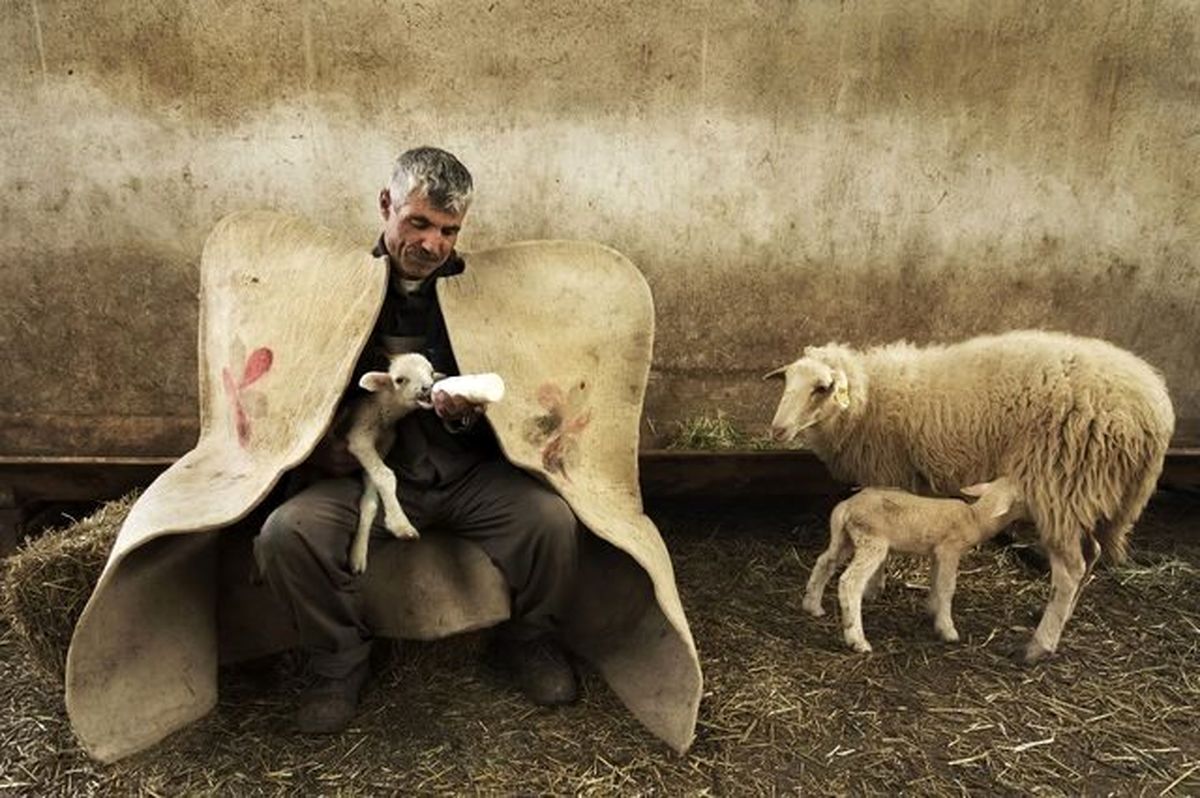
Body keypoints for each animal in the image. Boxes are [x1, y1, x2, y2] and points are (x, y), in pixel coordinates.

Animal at [801, 475, 1027, 652]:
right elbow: (947, 588)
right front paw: (947, 629)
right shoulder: (949, 550)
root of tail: (847, 507)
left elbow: (935, 582)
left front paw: (933, 610)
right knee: (850, 582)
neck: (975, 519)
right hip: (872, 542)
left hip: (844, 538)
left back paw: (812, 606)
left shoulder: (936, 553)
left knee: (824, 562)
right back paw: (857, 640)